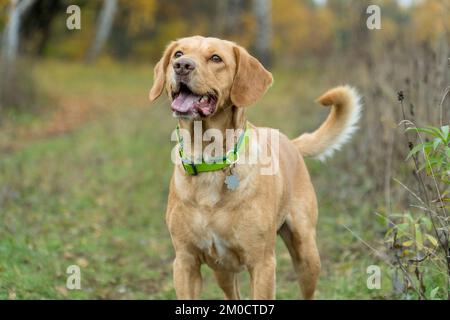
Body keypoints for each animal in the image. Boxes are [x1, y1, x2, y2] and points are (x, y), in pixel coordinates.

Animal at [150, 35, 362, 300]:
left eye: (216, 58)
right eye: (178, 54)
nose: (182, 66)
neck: (208, 159)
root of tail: (290, 141)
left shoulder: (261, 263)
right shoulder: (185, 263)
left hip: (306, 253)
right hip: (222, 270)